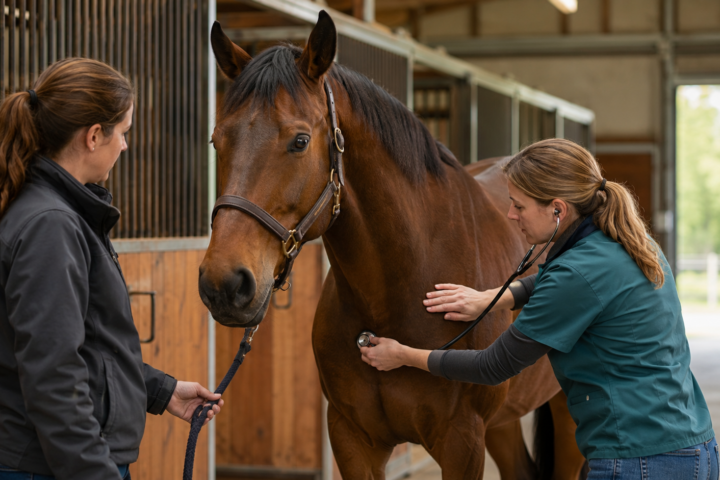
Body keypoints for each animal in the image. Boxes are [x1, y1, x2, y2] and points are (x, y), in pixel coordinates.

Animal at [199, 11, 586, 480]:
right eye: (217, 140)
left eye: (300, 141)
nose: (224, 284)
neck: (400, 289)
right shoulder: (351, 437)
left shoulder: (461, 442)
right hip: (504, 421)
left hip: (567, 411)